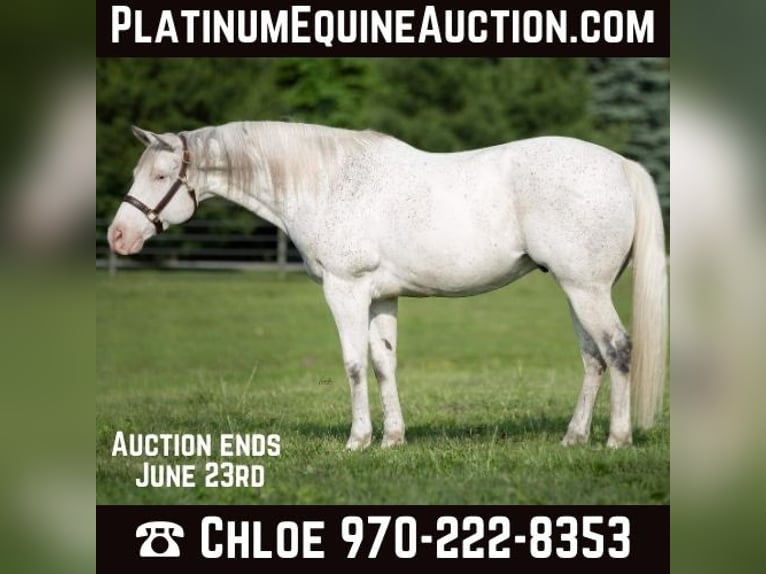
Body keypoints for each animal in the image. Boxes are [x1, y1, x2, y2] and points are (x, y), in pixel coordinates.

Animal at [107, 121, 667, 450]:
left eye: (160, 177)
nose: (118, 236)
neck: (326, 181)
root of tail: (620, 165)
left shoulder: (345, 291)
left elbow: (354, 365)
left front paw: (357, 441)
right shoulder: (381, 298)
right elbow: (383, 364)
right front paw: (393, 439)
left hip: (586, 288)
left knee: (618, 349)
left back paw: (617, 440)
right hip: (577, 289)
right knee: (593, 357)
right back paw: (574, 439)